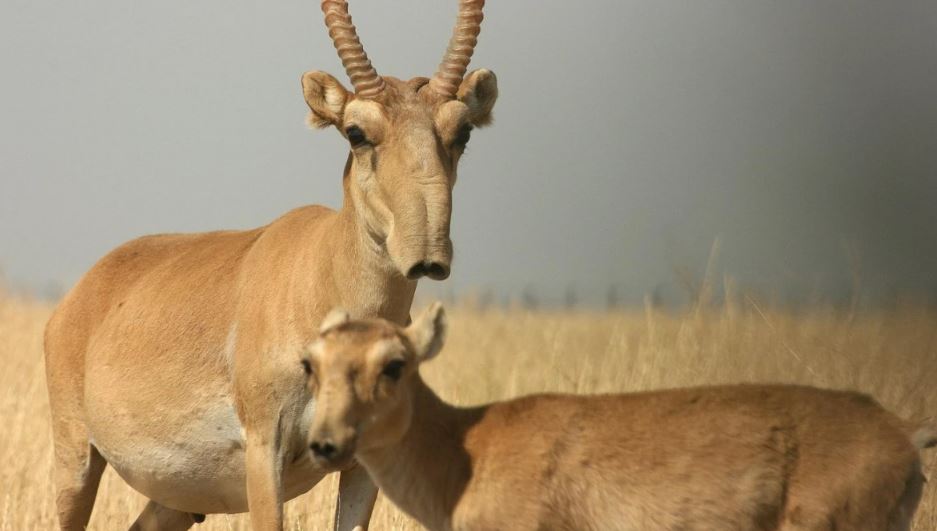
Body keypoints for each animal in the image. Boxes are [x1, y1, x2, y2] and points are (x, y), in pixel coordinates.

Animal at [45, 2, 498, 528]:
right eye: (356, 132)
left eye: (462, 131)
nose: (426, 253)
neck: (321, 271)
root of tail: (81, 294)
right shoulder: (266, 452)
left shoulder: (363, 464)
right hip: (76, 464)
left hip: (176, 501)